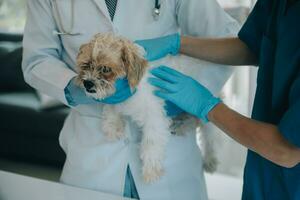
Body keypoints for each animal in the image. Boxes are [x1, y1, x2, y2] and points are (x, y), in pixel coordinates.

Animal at [75, 33, 218, 183]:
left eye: (105, 69)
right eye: (86, 65)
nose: (87, 83)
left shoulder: (154, 117)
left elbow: (151, 143)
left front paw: (151, 170)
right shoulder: (116, 99)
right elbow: (111, 110)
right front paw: (113, 128)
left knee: (210, 133)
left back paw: (210, 160)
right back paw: (181, 125)